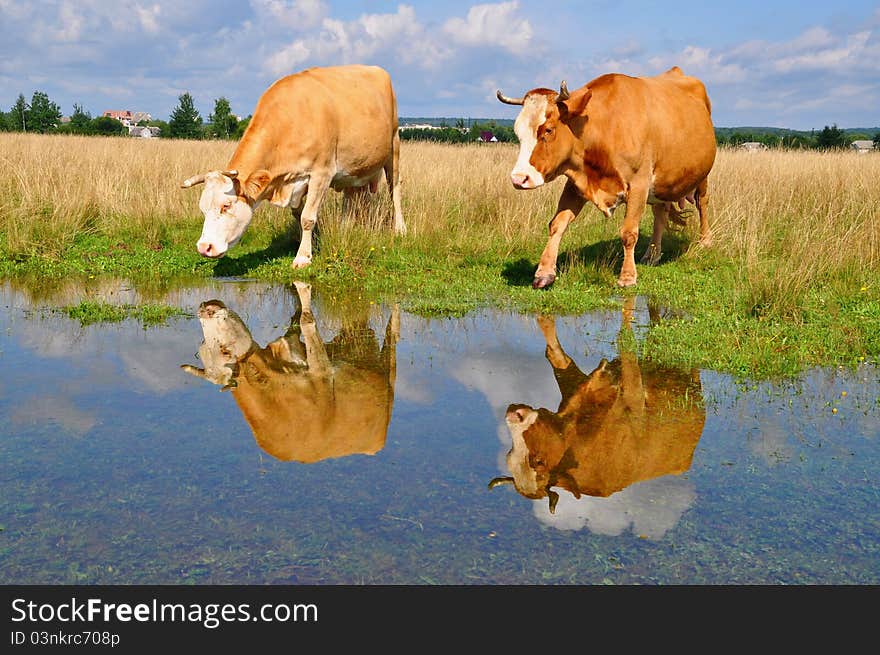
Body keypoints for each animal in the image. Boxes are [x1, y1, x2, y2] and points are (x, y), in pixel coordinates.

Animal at [180, 280, 398, 462]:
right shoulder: (290, 346)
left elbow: (305, 320)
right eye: (203, 346)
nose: (204, 308)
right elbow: (298, 320)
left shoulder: (322, 373)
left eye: (224, 351)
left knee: (392, 337)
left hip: (389, 370)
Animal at [183, 66, 410, 270]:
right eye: (202, 209)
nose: (204, 247)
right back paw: (345, 228)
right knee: (350, 195)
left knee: (395, 190)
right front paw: (308, 245)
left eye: (226, 205)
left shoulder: (321, 173)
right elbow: (297, 214)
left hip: (394, 146)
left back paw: (400, 229)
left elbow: (307, 217)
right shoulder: (295, 182)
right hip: (354, 166)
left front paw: (302, 258)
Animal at [488, 298, 708, 516]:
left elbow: (625, 341)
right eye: (509, 456)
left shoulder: (635, 400)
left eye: (539, 461)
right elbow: (555, 355)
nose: (514, 415)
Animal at [496, 67, 716, 290]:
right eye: (517, 132)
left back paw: (705, 241)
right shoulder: (576, 183)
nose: (519, 178)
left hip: (702, 174)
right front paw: (544, 272)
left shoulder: (639, 184)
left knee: (702, 203)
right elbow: (557, 223)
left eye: (548, 129)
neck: (605, 128)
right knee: (660, 213)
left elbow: (629, 233)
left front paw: (627, 276)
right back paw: (652, 254)